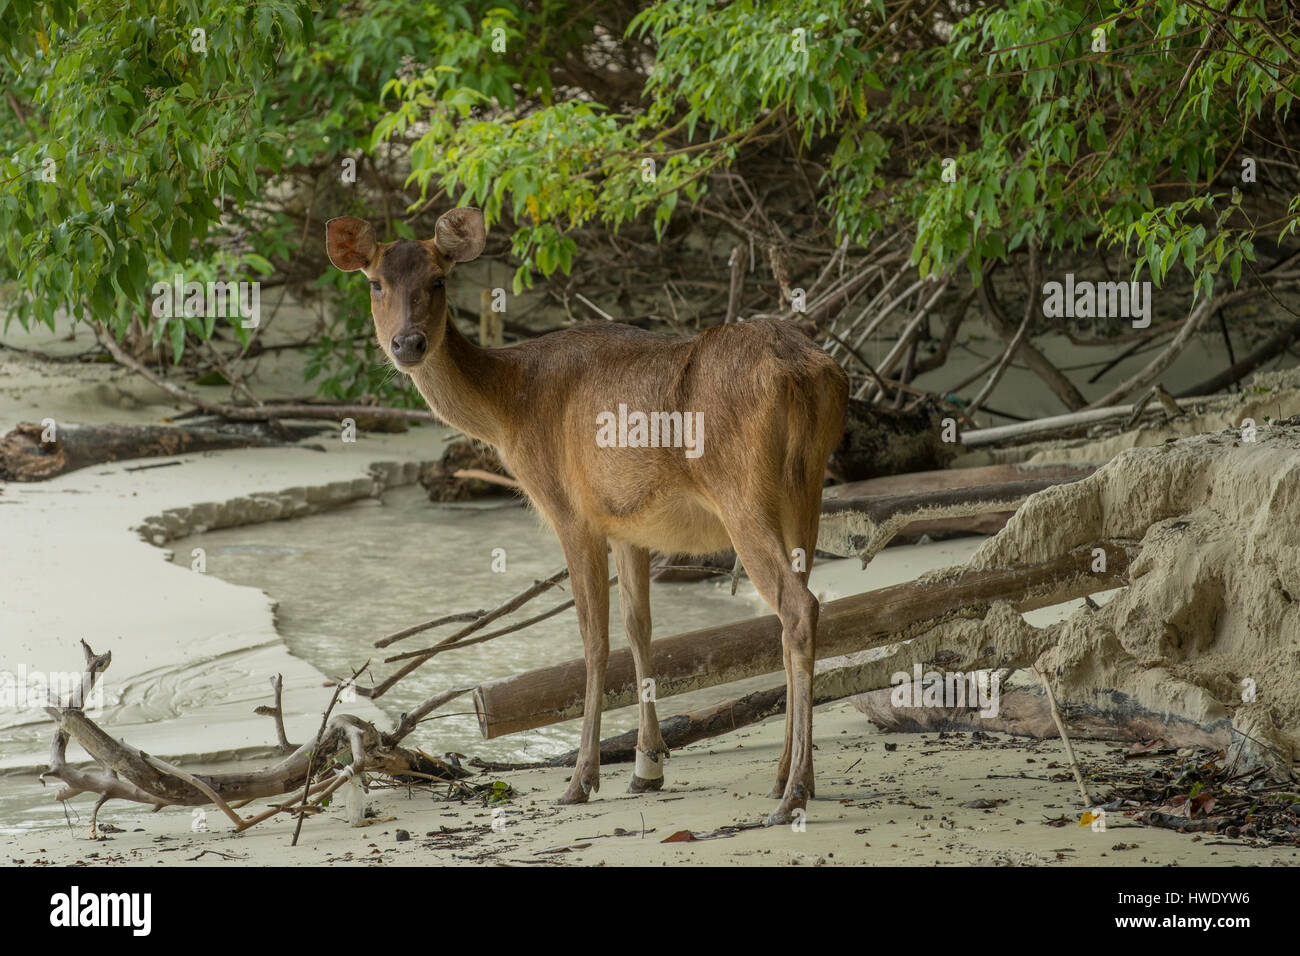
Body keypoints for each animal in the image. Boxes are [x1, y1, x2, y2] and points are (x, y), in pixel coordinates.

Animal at [325, 208, 847, 822]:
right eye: (375, 282)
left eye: (438, 279)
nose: (408, 342)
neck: (509, 410)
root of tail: (808, 374)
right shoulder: (627, 522)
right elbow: (640, 629)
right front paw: (647, 767)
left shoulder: (570, 510)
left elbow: (592, 640)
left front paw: (581, 778)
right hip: (806, 489)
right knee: (794, 608)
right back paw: (786, 775)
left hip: (742, 491)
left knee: (798, 605)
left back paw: (792, 793)